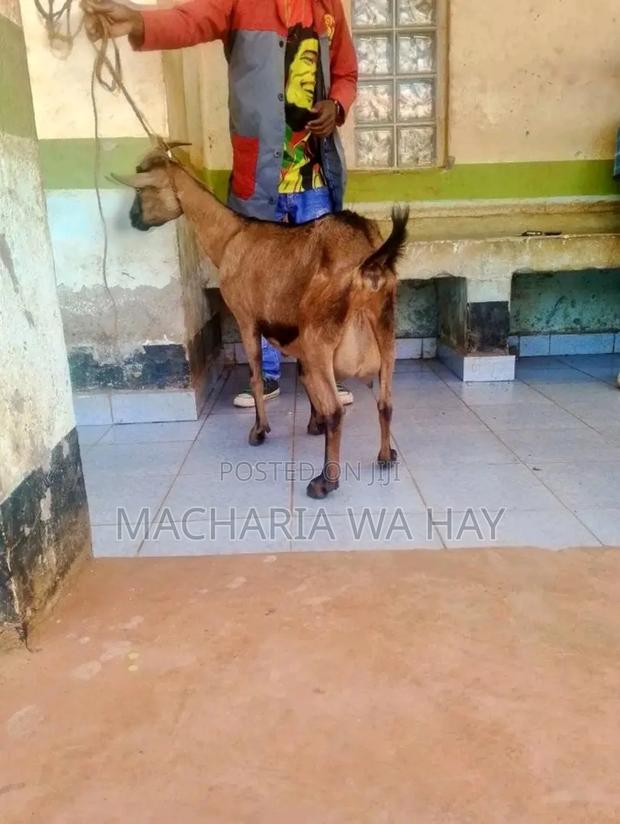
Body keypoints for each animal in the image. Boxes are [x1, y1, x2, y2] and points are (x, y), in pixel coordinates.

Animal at [113, 148, 408, 499]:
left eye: (143, 189)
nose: (133, 220)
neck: (230, 236)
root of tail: (370, 262)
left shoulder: (246, 318)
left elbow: (255, 376)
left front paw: (259, 430)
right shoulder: (294, 331)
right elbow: (305, 378)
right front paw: (313, 423)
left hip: (320, 335)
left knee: (338, 411)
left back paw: (325, 481)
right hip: (385, 331)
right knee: (386, 402)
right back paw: (386, 455)